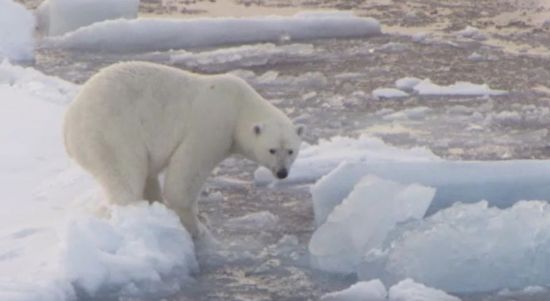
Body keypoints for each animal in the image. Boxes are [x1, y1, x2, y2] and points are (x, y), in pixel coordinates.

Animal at [66, 62, 306, 237]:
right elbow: (185, 176)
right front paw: (196, 227)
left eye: (291, 151)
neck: (240, 106)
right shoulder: (211, 126)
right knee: (124, 174)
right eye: (272, 150)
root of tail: (67, 125)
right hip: (111, 132)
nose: (282, 173)